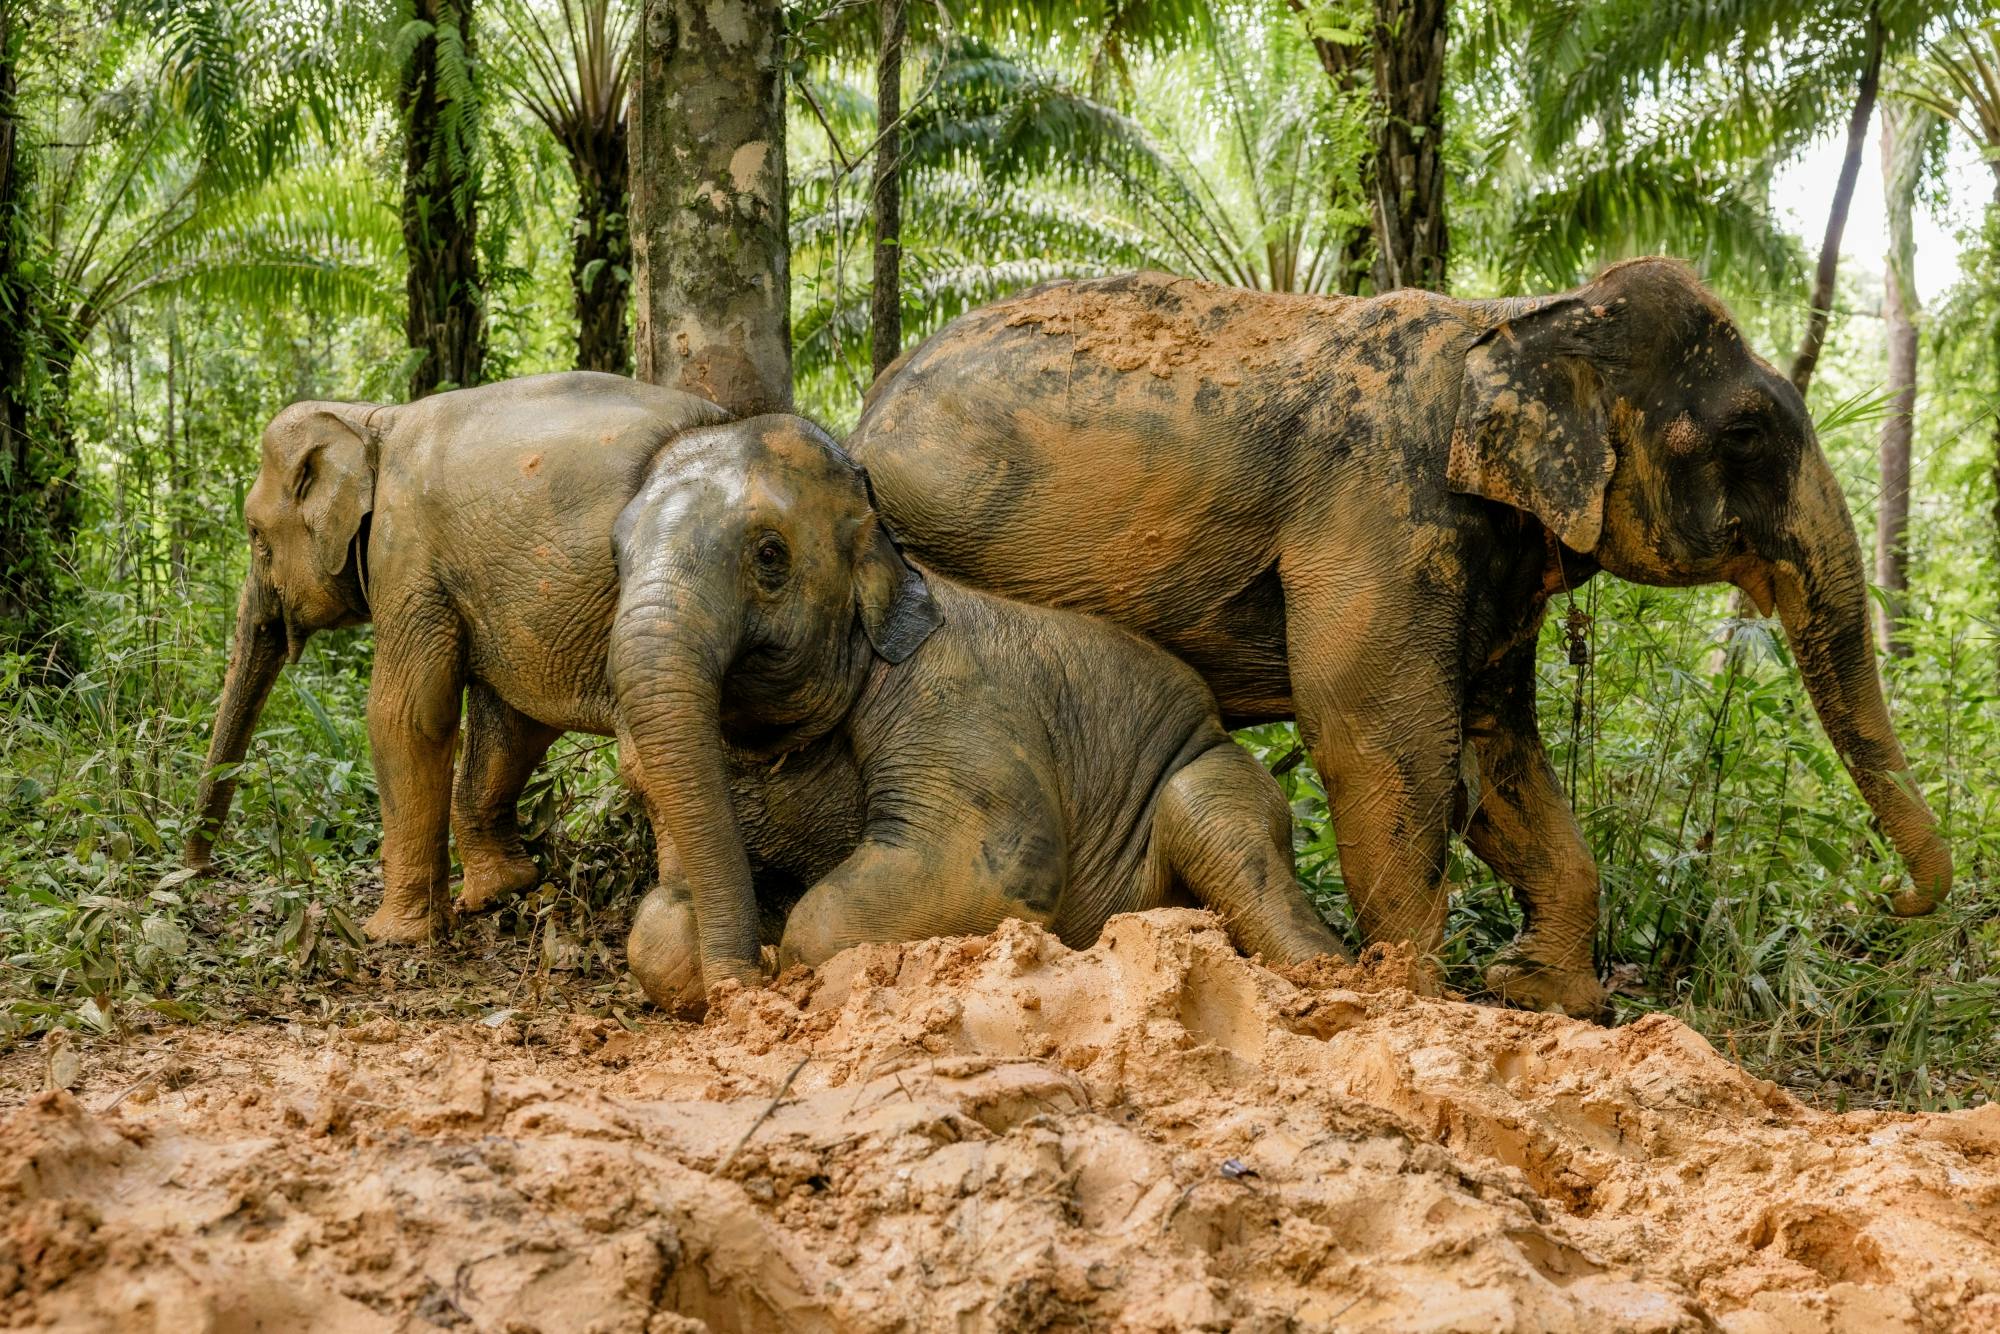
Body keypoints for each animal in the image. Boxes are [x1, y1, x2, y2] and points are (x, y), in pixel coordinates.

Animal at [186, 371, 730, 939]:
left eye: (254, 534)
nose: (200, 871)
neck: (370, 420)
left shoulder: (406, 558)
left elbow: (406, 717)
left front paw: (392, 934)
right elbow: (513, 722)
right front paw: (499, 892)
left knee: (649, 760)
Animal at [606, 413, 1343, 1010]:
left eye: (769, 554)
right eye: (616, 554)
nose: (738, 990)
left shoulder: (952, 700)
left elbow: (975, 871)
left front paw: (785, 962)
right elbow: (657, 928)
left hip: (1207, 759)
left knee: (1213, 822)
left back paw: (1326, 980)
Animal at [846, 258, 1953, 1018]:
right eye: (1744, 434)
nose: (1892, 896)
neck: (1522, 315)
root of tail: (870, 404)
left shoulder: (1497, 547)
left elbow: (1495, 749)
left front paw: (1541, 995)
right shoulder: (1381, 504)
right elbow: (1382, 738)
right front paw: (1415, 996)